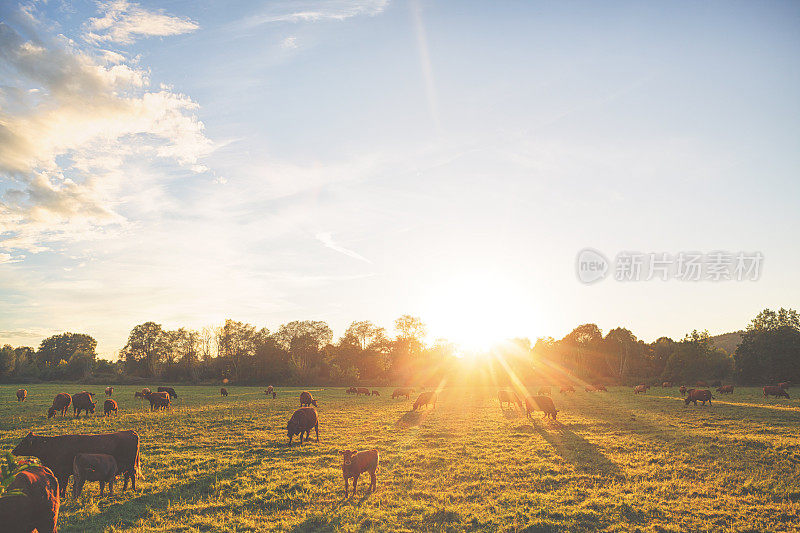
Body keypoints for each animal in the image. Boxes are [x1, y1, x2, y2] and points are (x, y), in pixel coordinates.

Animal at [13, 426, 141, 496]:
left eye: (23, 442)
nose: (13, 451)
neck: (51, 447)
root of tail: (130, 432)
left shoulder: (63, 473)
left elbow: (63, 485)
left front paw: (63, 496)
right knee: (127, 476)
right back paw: (124, 489)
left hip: (130, 465)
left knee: (132, 475)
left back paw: (133, 488)